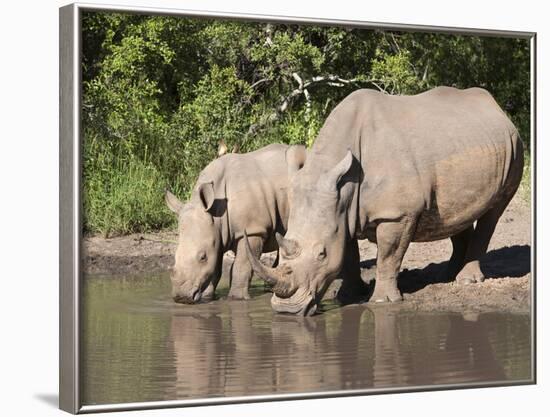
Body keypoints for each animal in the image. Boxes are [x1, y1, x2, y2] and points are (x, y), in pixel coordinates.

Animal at [166, 143, 308, 302]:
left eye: (203, 257)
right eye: (175, 256)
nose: (181, 297)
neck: (216, 213)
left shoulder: (253, 230)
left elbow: (241, 265)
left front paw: (236, 298)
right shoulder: (216, 232)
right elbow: (215, 268)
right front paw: (208, 297)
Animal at [246, 88, 528, 316]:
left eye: (321, 254)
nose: (286, 310)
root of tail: (497, 108)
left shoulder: (397, 213)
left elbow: (389, 255)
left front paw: (382, 301)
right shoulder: (342, 211)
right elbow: (349, 254)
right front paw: (348, 296)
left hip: (516, 146)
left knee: (493, 213)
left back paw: (467, 281)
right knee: (459, 212)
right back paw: (447, 276)